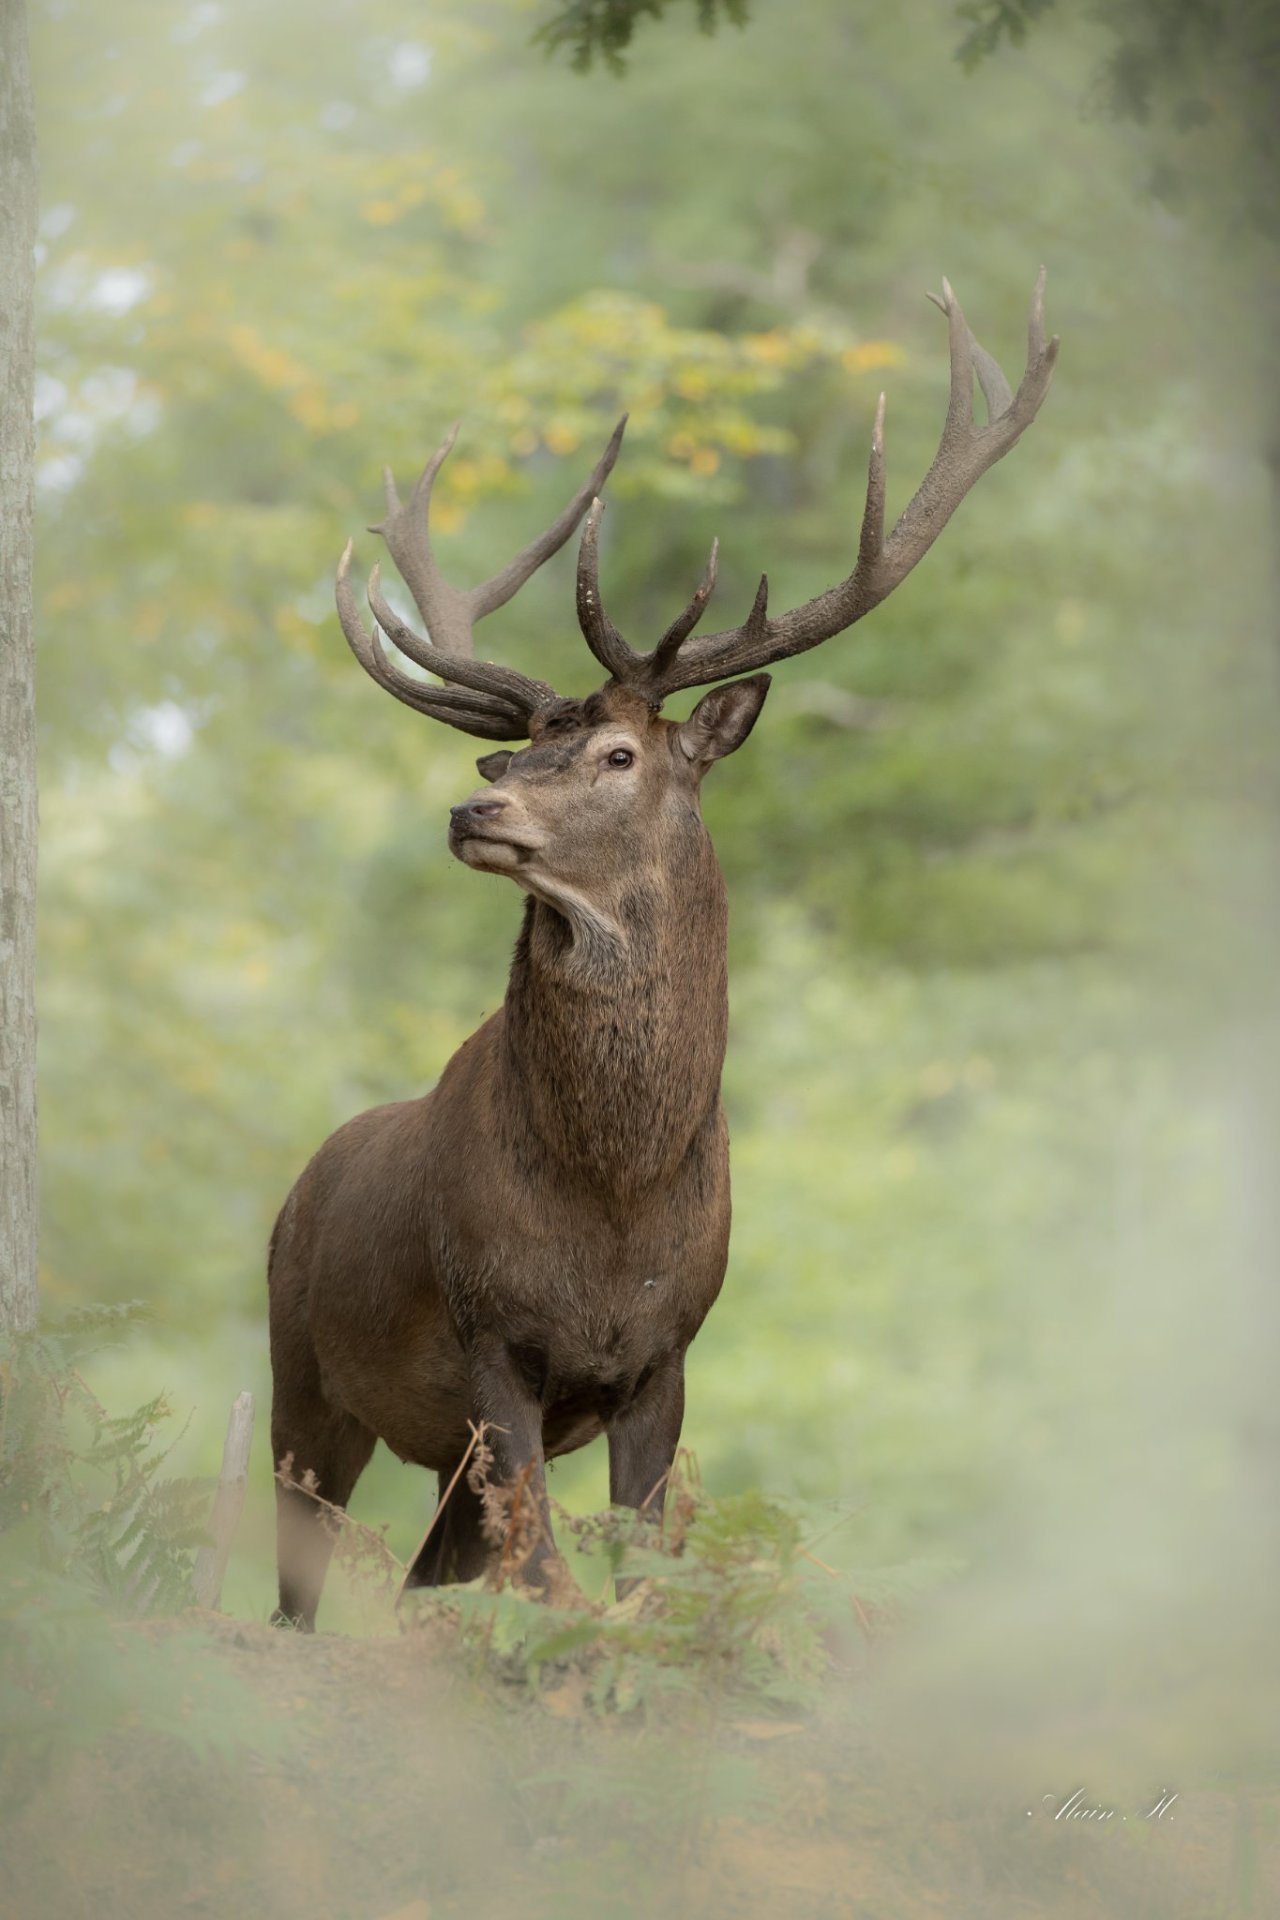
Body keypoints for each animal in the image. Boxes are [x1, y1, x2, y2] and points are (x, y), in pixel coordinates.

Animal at [267, 273, 1058, 1629]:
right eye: (518, 753)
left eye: (617, 753)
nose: (473, 806)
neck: (614, 1198)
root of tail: (295, 1188)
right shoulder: (491, 1337)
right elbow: (549, 1581)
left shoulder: (668, 1356)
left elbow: (637, 1578)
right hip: (295, 1373)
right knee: (296, 1581)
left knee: (423, 1578)